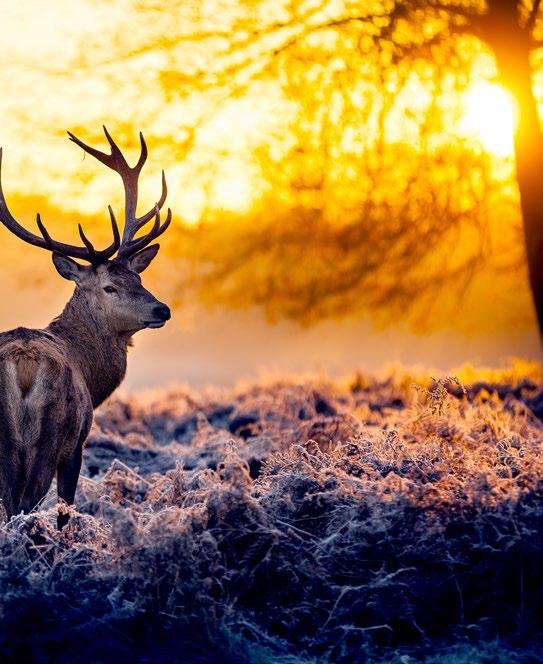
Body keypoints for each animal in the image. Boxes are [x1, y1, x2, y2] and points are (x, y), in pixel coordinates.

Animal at [0, 127, 172, 528]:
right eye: (110, 286)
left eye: (138, 278)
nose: (162, 309)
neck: (92, 375)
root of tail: (22, 366)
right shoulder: (77, 444)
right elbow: (66, 508)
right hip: (48, 436)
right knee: (24, 503)